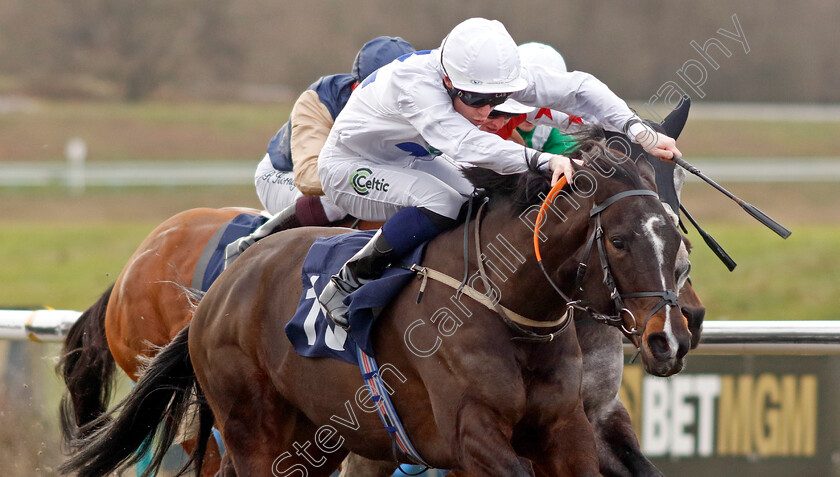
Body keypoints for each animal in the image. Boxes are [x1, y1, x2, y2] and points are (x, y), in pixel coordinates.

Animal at [60, 142, 696, 476]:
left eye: (676, 234)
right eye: (620, 241)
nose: (671, 335)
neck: (507, 309)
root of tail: (219, 289)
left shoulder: (568, 427)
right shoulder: (472, 434)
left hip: (314, 437)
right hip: (251, 431)